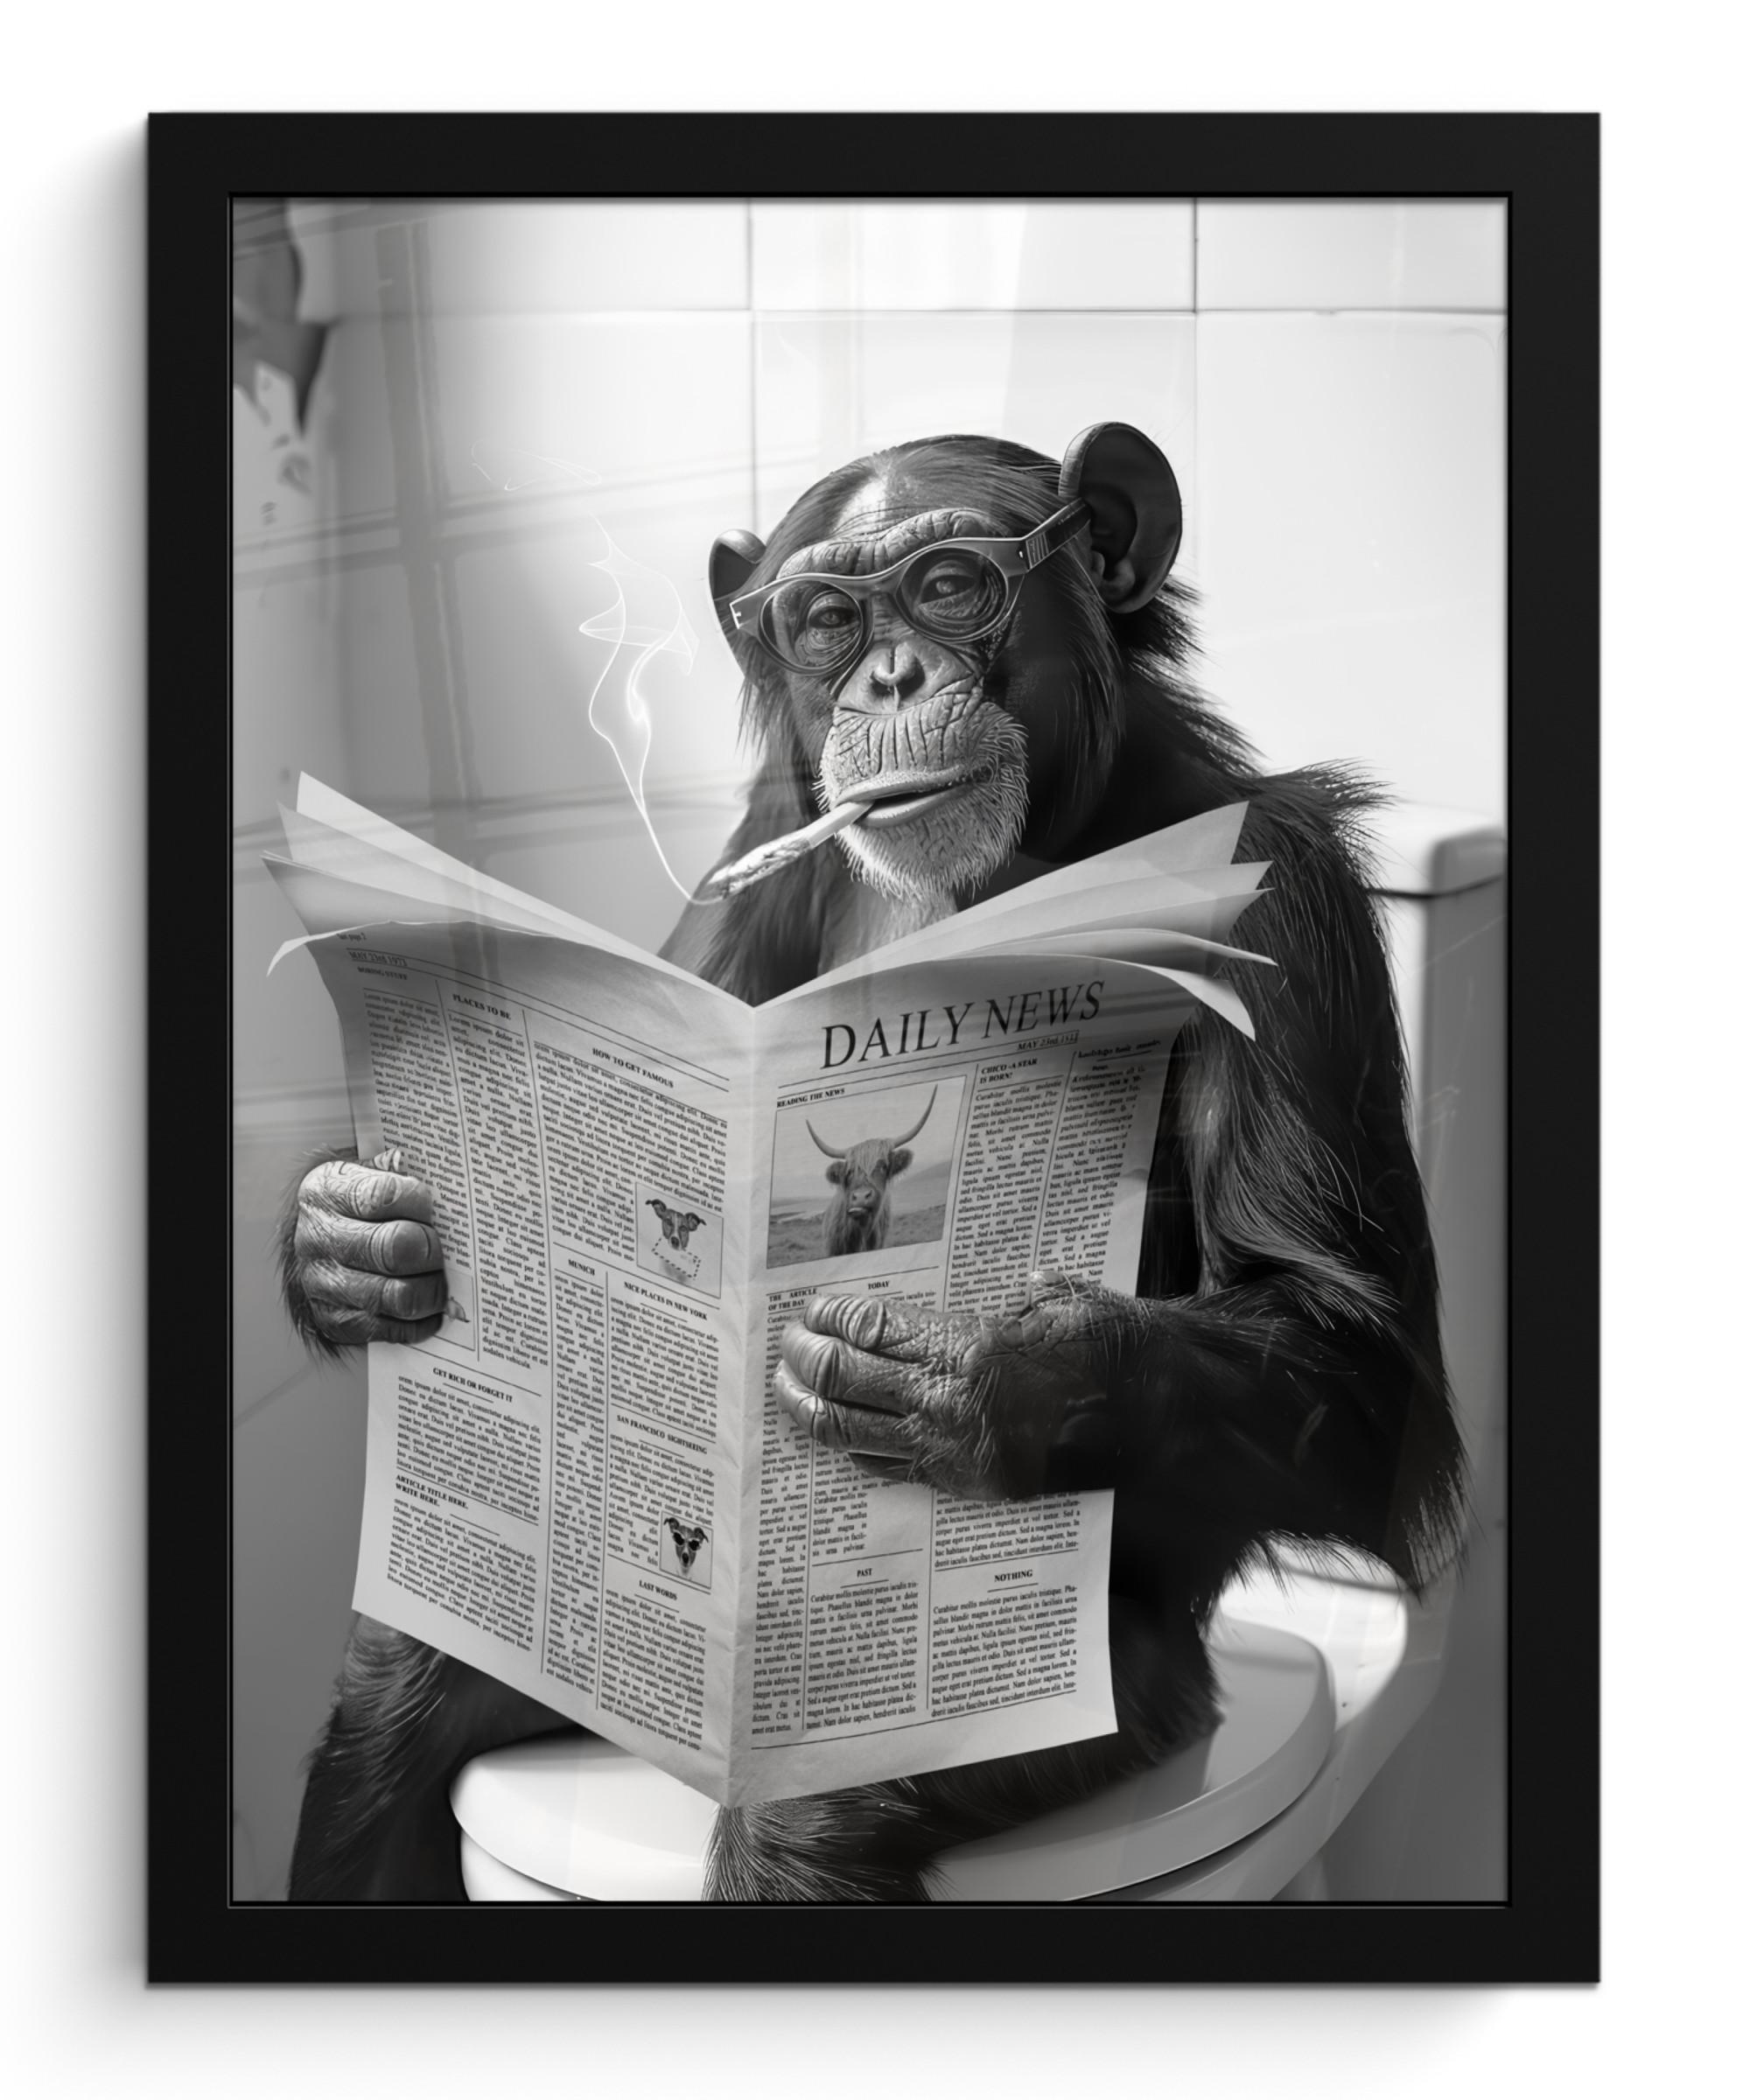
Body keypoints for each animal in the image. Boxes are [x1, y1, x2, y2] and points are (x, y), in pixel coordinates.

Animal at [279, 422, 1464, 1903]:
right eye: (825, 622)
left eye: (952, 586)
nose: (891, 675)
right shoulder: (750, 852)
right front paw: (358, 1241)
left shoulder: (1283, 896)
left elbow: (1352, 1351)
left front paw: (971, 1377)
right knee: (400, 1692)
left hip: (1120, 1699)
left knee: (809, 1812)